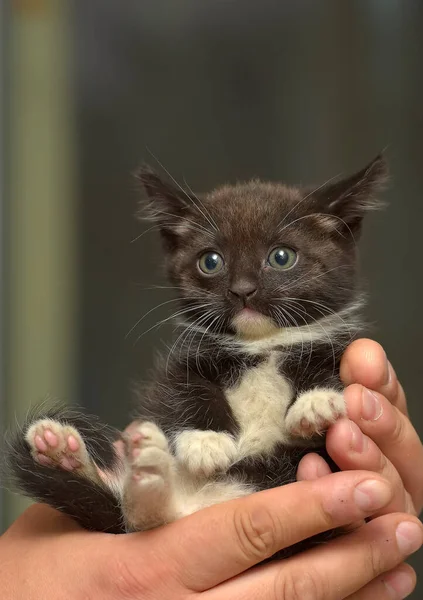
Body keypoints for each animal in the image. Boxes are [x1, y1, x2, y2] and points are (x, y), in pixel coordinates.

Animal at [3, 156, 388, 556]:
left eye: (282, 257)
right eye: (211, 261)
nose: (243, 290)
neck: (260, 346)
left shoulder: (334, 343)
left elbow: (331, 366)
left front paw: (315, 402)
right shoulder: (184, 357)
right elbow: (185, 388)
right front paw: (206, 441)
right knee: (137, 520)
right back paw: (81, 456)